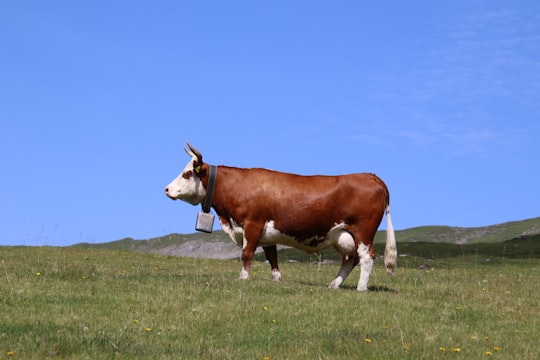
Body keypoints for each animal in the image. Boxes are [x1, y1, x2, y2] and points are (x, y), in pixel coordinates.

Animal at [165, 142, 396, 292]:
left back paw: (361, 288)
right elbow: (272, 256)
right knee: (350, 259)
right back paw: (333, 284)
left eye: (187, 173)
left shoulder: (252, 224)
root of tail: (370, 176)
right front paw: (276, 279)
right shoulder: (267, 233)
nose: (167, 189)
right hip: (343, 235)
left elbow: (246, 253)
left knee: (366, 257)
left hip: (363, 231)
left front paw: (243, 278)